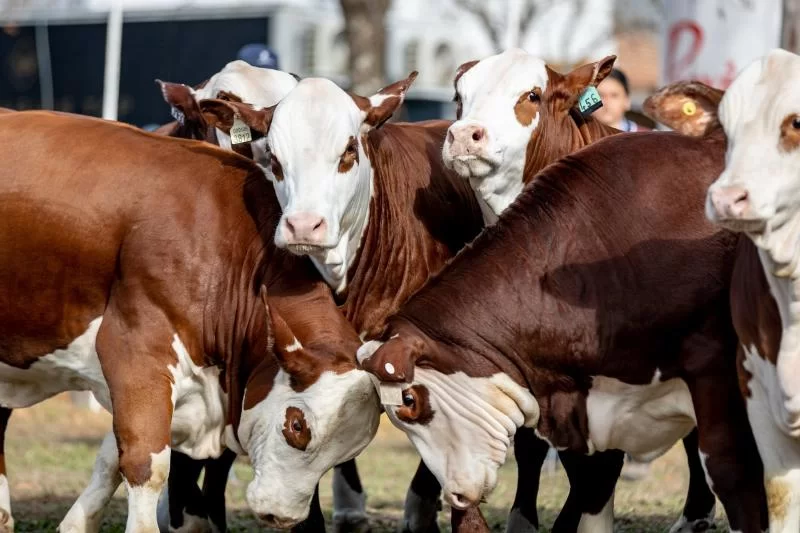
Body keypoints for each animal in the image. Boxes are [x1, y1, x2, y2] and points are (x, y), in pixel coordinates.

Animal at [0, 110, 382, 528]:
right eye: (298, 425)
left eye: (345, 455)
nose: (281, 516)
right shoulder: (136, 356)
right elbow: (145, 465)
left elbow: (110, 461)